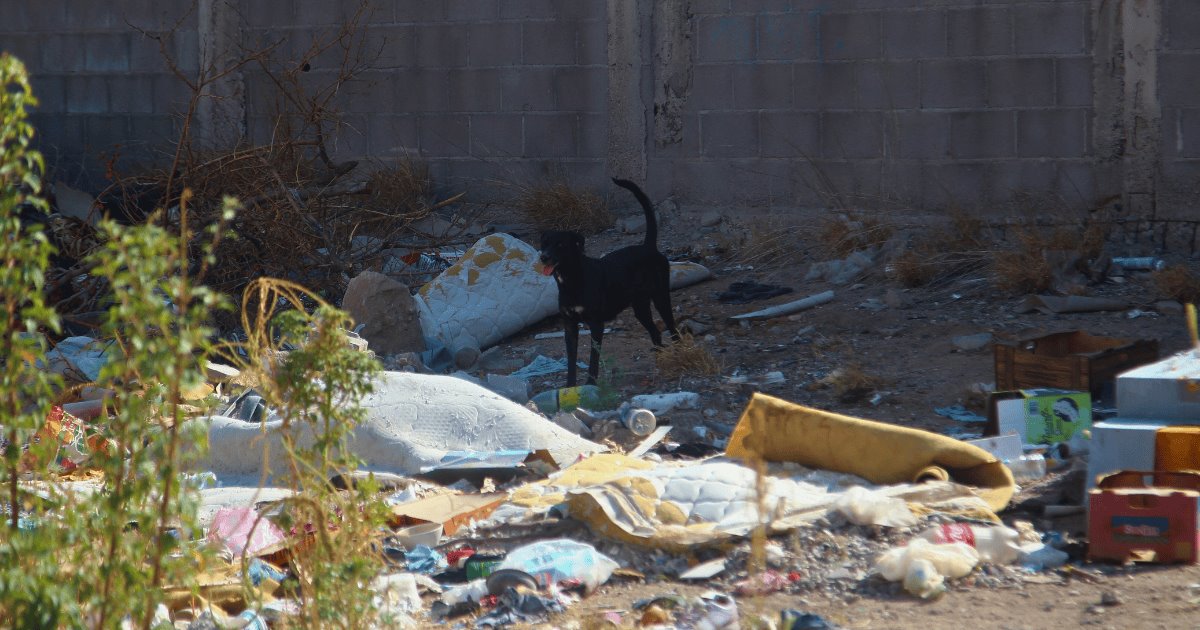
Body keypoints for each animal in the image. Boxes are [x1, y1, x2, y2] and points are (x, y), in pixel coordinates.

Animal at [540, 175, 681, 384]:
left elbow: (593, 358)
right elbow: (571, 359)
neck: (572, 279)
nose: (543, 257)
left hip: (660, 297)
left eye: (560, 245)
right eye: (544, 243)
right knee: (655, 332)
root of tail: (648, 247)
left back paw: (681, 353)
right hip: (640, 306)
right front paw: (570, 386)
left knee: (672, 328)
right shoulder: (570, 325)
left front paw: (591, 383)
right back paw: (659, 362)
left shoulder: (596, 324)